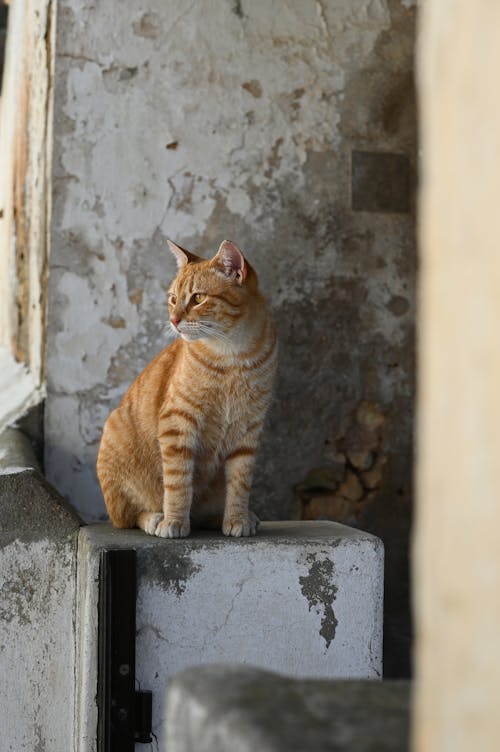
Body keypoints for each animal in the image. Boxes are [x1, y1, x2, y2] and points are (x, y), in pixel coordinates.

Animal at [96, 238, 278, 536]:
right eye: (172, 298)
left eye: (198, 298)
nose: (173, 319)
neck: (233, 356)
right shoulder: (178, 422)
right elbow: (178, 483)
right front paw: (174, 521)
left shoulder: (248, 428)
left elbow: (240, 482)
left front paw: (237, 518)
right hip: (115, 441)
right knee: (129, 517)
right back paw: (155, 518)